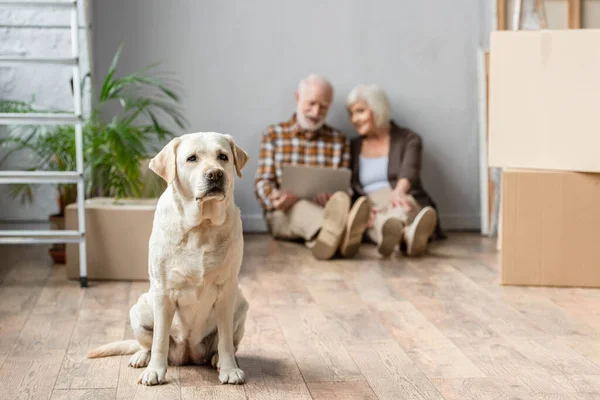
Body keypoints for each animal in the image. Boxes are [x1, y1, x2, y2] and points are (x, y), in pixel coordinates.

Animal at [86, 133, 248, 386]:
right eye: (192, 158)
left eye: (223, 157)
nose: (215, 174)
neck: (201, 226)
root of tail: (188, 354)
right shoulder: (163, 292)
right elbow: (159, 339)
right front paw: (154, 371)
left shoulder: (226, 291)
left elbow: (225, 341)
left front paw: (230, 369)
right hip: (140, 309)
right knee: (146, 344)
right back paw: (141, 357)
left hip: (241, 305)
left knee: (226, 343)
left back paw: (217, 360)